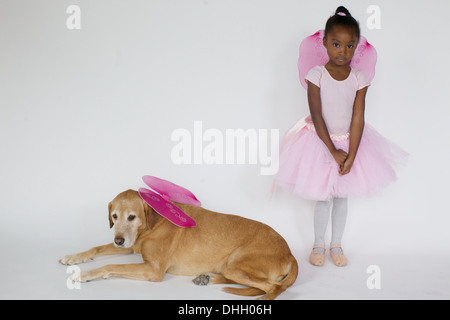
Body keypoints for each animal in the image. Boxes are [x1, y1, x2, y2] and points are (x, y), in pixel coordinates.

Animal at [59, 190, 298, 300]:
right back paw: (207, 278)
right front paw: (73, 257)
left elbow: (110, 266)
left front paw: (84, 274)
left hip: (236, 263)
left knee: (273, 287)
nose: (119, 240)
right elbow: (96, 248)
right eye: (114, 216)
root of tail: (290, 253)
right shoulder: (132, 245)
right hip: (231, 266)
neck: (153, 223)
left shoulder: (153, 270)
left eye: (132, 217)